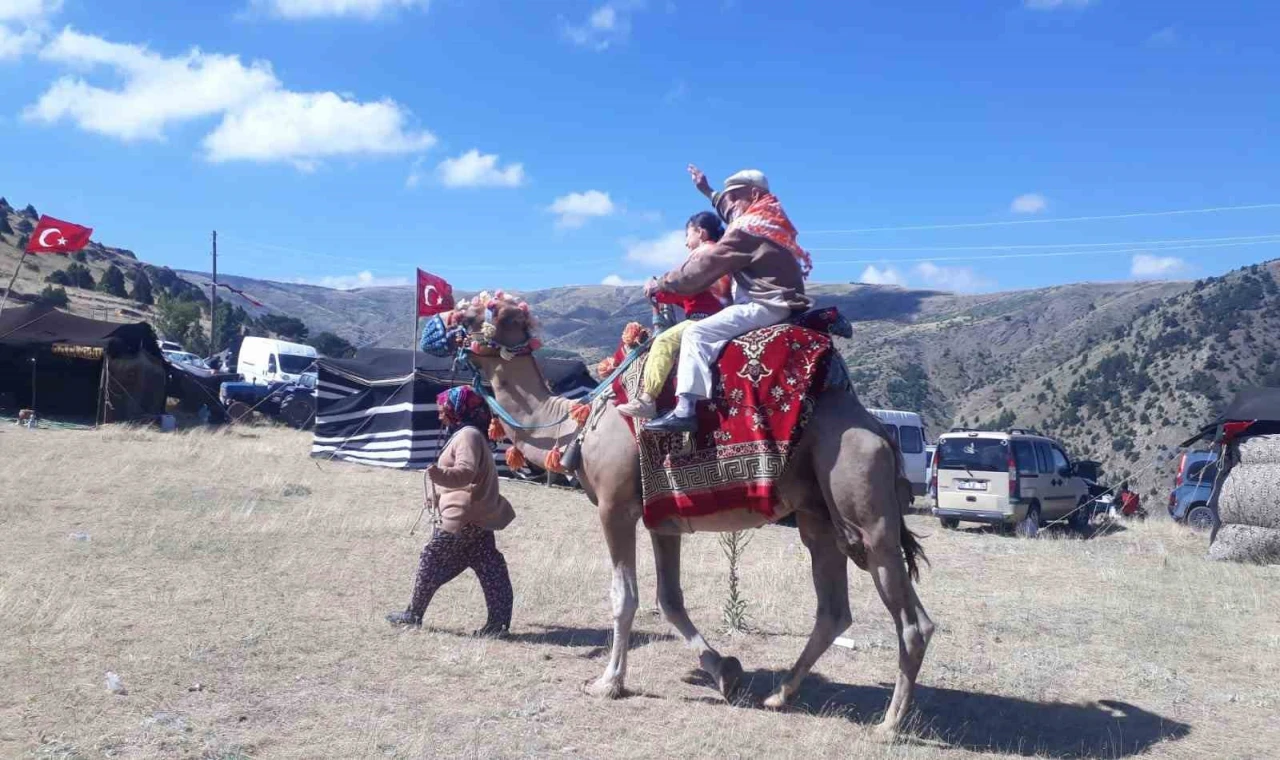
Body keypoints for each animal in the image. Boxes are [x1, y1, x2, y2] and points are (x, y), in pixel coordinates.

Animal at [448, 292, 931, 731]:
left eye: (478, 310)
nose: (445, 318)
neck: (575, 423)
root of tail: (879, 430)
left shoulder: (616, 507)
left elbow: (625, 597)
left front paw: (608, 683)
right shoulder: (663, 518)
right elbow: (669, 599)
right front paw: (726, 672)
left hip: (865, 508)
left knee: (912, 620)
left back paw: (889, 724)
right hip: (820, 517)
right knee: (833, 610)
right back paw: (780, 694)